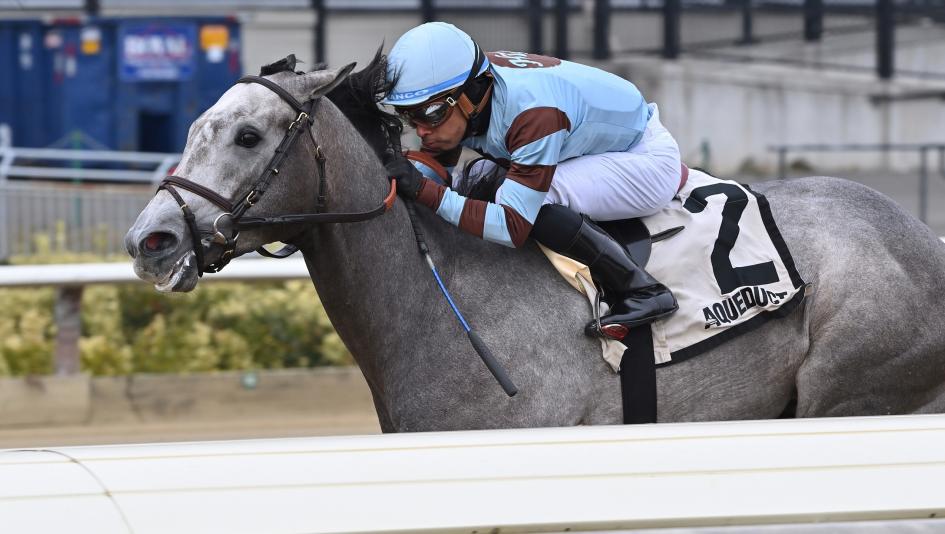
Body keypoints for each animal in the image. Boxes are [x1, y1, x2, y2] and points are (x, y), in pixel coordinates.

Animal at [125, 53, 945, 432]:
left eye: (247, 135)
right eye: (195, 126)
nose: (149, 240)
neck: (444, 306)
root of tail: (920, 239)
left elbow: (523, 208)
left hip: (852, 396)